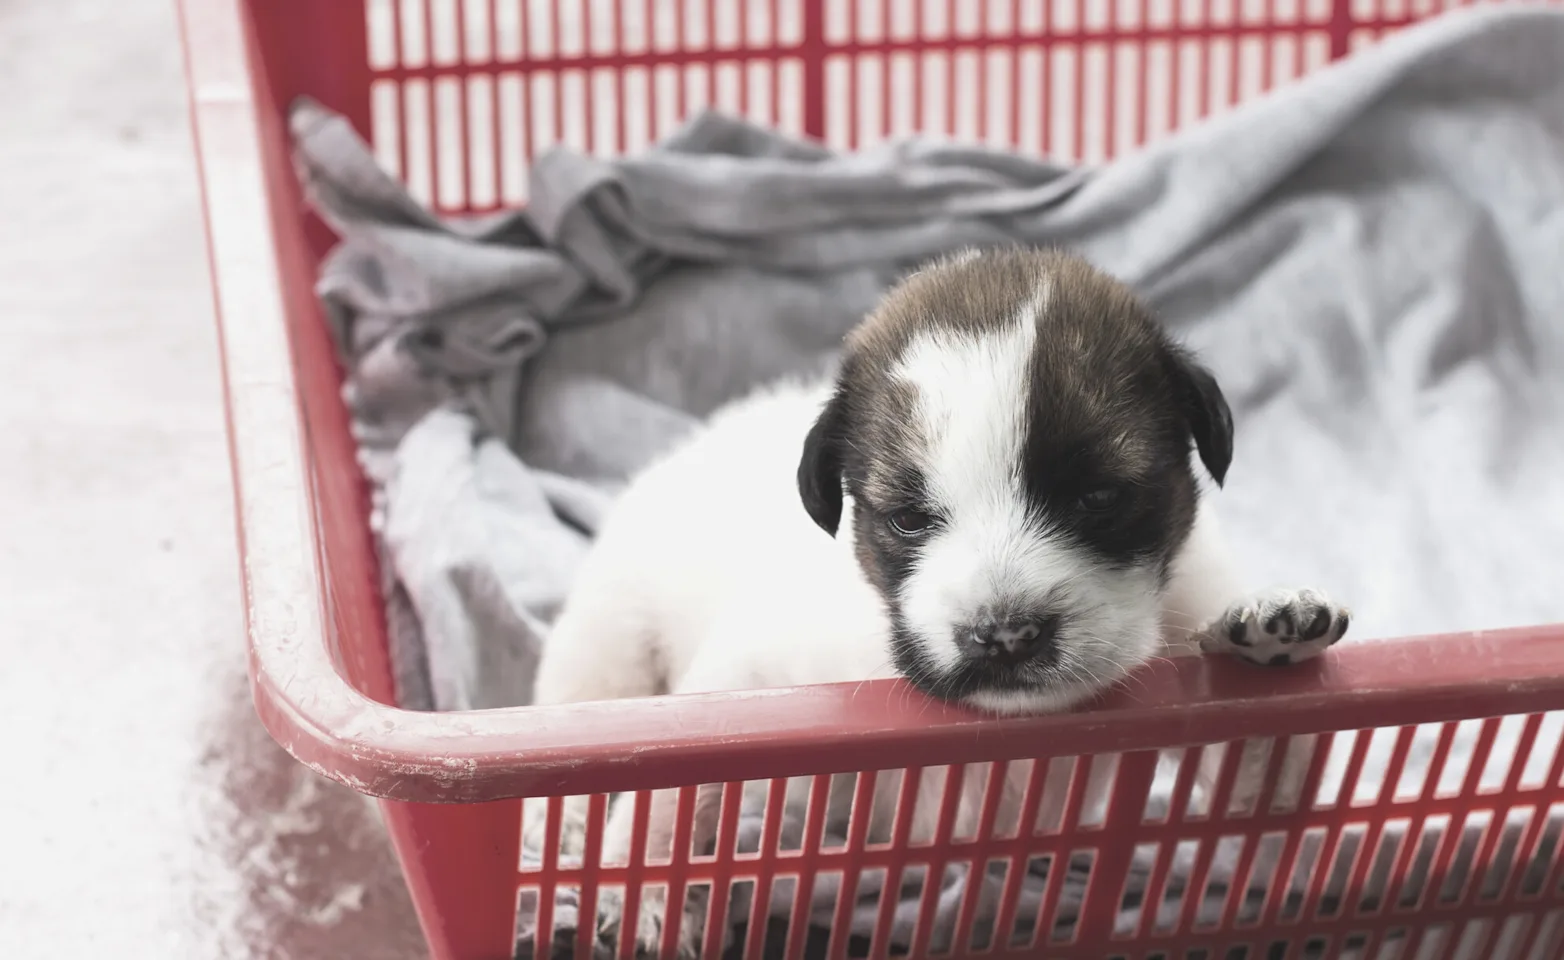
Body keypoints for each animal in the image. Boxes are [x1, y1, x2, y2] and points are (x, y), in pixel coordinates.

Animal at [522, 247, 1345, 956]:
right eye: (910, 518)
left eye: (1098, 498)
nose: (1004, 635)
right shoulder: (747, 685)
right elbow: (671, 794)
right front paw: (642, 895)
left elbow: (1263, 787)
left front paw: (1265, 628)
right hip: (605, 647)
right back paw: (552, 829)